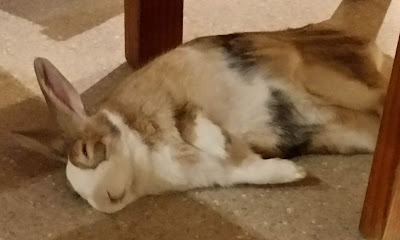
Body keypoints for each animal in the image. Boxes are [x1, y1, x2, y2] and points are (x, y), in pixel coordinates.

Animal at [25, 23, 388, 213]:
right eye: (79, 196)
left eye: (86, 152)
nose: (105, 202)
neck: (144, 162)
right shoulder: (226, 172)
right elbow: (252, 169)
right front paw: (292, 173)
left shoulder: (173, 103)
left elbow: (191, 123)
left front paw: (218, 142)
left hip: (336, 84)